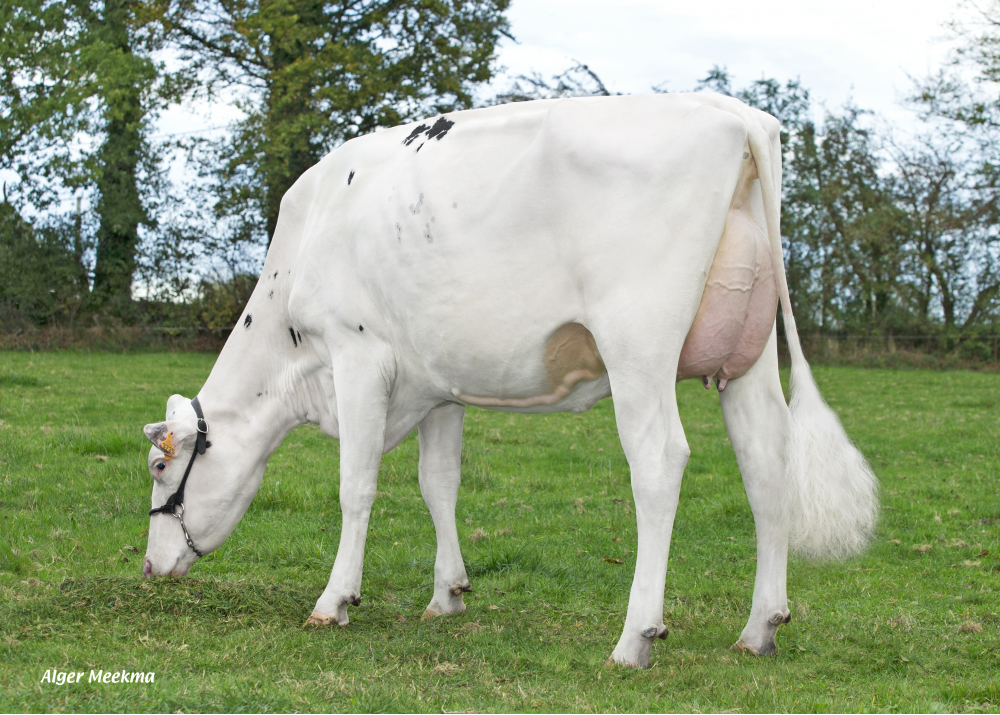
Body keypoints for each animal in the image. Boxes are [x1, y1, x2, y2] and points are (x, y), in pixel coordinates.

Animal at [141, 95, 876, 672]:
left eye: (159, 466)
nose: (150, 567)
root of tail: (734, 112)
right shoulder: (437, 383)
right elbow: (438, 484)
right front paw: (447, 594)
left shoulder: (357, 353)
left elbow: (356, 485)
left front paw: (335, 600)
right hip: (746, 356)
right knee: (765, 460)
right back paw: (760, 627)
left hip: (637, 346)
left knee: (659, 463)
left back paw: (634, 637)